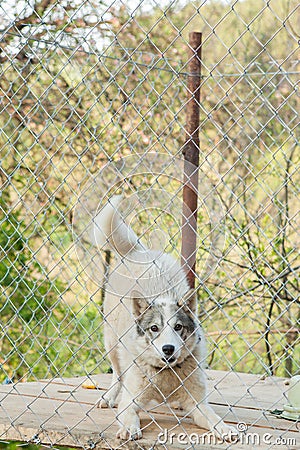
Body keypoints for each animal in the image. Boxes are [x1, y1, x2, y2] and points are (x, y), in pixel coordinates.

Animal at [90, 196, 236, 440]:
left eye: (178, 327)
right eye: (154, 328)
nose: (168, 349)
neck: (166, 373)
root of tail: (138, 252)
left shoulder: (199, 405)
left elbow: (213, 418)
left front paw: (224, 428)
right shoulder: (130, 402)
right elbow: (130, 414)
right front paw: (129, 429)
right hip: (111, 343)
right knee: (117, 374)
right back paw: (108, 397)